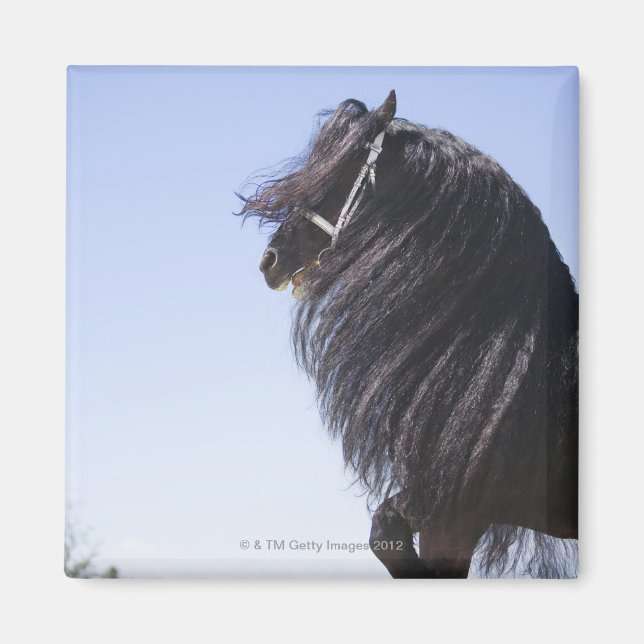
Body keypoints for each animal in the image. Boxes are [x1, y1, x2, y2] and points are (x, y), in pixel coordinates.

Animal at [237, 90, 578, 578]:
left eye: (343, 166)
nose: (270, 259)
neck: (512, 367)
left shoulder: (457, 513)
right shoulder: (442, 504)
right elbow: (386, 530)